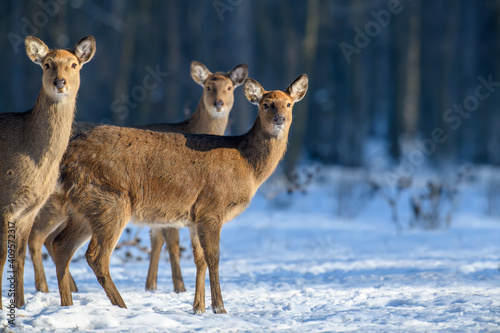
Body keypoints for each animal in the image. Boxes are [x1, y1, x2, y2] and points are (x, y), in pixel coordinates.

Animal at [0, 35, 95, 308]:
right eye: (47, 64)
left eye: (74, 64)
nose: (60, 82)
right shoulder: (4, 203)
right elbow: (2, 257)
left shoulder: (29, 210)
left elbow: (18, 256)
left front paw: (20, 305)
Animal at [27, 60, 248, 294]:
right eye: (208, 87)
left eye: (229, 87)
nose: (218, 103)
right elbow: (171, 241)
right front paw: (179, 287)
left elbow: (156, 240)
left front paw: (151, 285)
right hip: (58, 203)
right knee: (38, 235)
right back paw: (46, 286)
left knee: (49, 238)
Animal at [51, 74, 308, 312]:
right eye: (265, 104)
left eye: (289, 104)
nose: (279, 119)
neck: (248, 166)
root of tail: (68, 156)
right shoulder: (212, 208)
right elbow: (214, 257)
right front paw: (219, 307)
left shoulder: (194, 217)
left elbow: (199, 259)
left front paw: (198, 308)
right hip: (110, 201)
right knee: (95, 256)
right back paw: (122, 306)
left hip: (83, 208)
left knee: (60, 245)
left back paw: (67, 305)